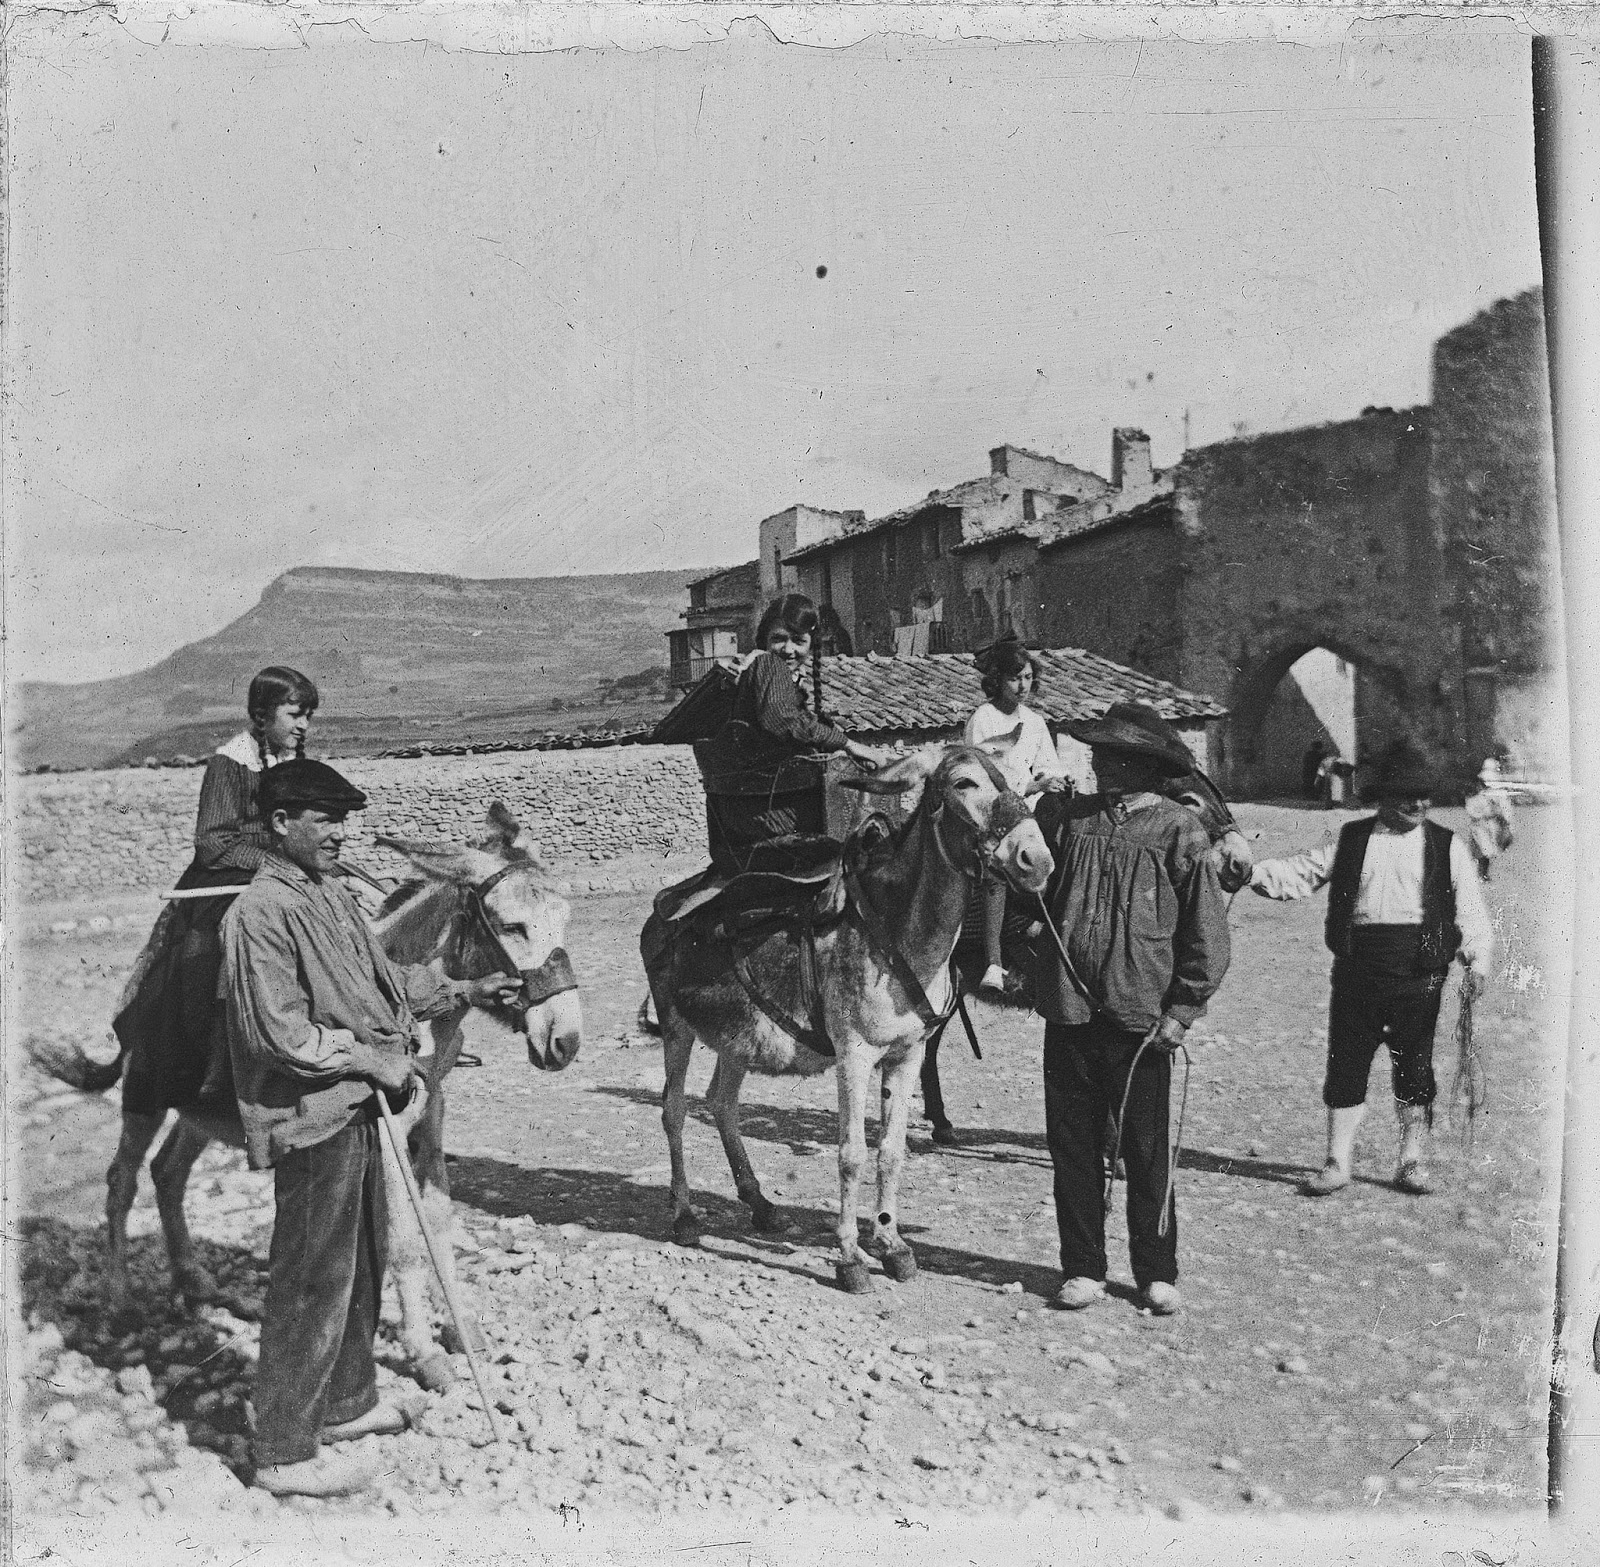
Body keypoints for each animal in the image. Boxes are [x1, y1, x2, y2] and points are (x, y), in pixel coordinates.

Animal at [33, 804, 582, 1391]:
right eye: (511, 925)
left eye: (565, 917)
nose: (565, 1043)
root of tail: (144, 977)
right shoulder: (387, 1129)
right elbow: (404, 1237)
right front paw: (424, 1352)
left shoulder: (431, 1120)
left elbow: (437, 1221)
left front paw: (464, 1330)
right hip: (145, 1093)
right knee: (121, 1181)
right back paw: (119, 1300)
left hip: (204, 1113)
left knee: (167, 1172)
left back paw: (197, 1285)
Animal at [640, 744, 1054, 1293]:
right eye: (963, 783)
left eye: (1024, 779)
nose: (1037, 860)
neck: (896, 933)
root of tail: (665, 904)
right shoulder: (854, 1056)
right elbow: (852, 1155)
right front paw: (851, 1257)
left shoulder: (908, 1054)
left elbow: (892, 1150)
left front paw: (892, 1244)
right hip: (677, 1027)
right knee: (674, 1110)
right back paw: (684, 1216)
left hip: (737, 1038)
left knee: (722, 1104)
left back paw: (761, 1204)